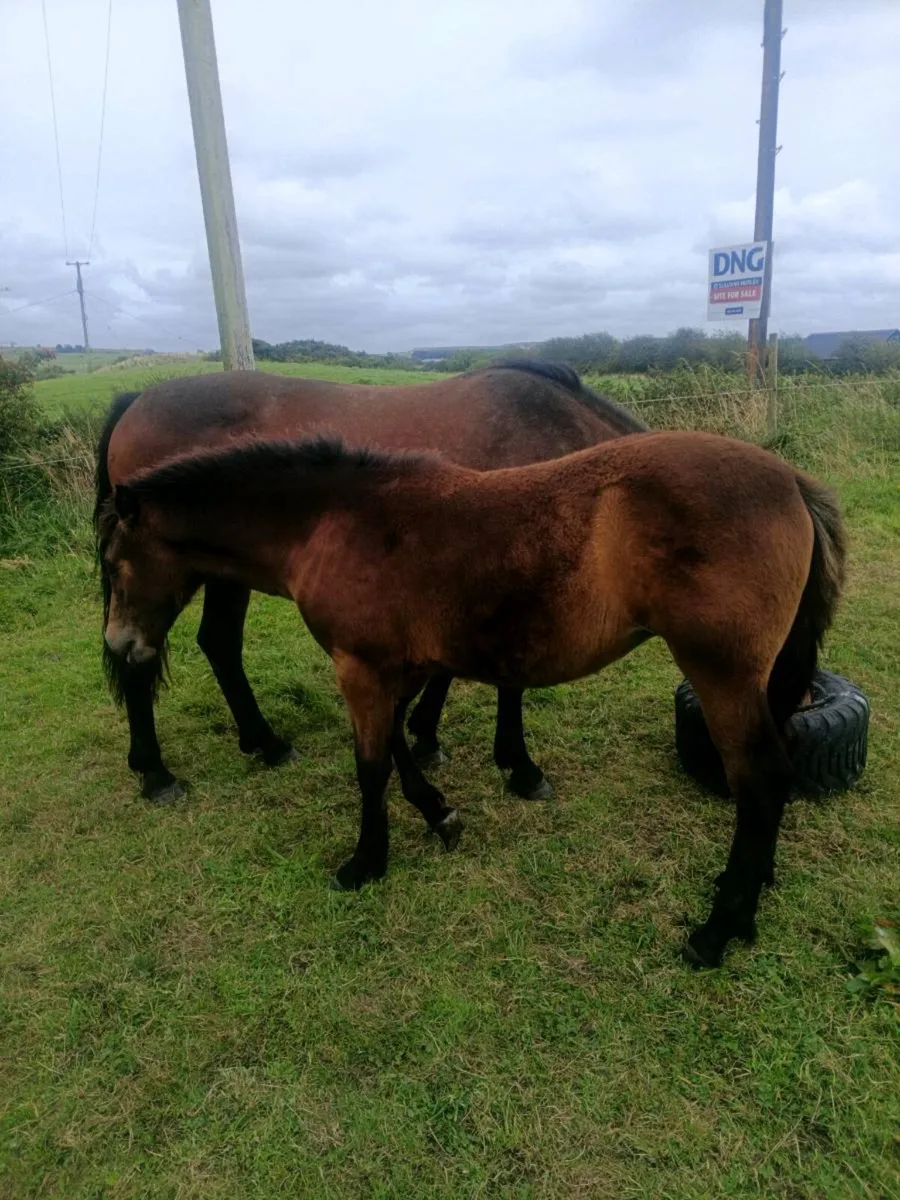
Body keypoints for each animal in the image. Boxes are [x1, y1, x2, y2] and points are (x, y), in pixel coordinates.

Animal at [95, 362, 645, 804]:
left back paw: (265, 744)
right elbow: (509, 681)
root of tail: (135, 401)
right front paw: (520, 768)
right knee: (146, 656)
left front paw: (425, 737)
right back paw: (157, 774)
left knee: (213, 644)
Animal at [99, 430, 846, 968]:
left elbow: (370, 764)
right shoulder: (394, 667)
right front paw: (440, 813)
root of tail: (792, 482)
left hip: (721, 675)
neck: (334, 521)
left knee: (761, 781)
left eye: (112, 561)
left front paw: (365, 863)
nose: (120, 646)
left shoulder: (361, 667)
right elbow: (399, 747)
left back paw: (719, 931)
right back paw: (748, 893)